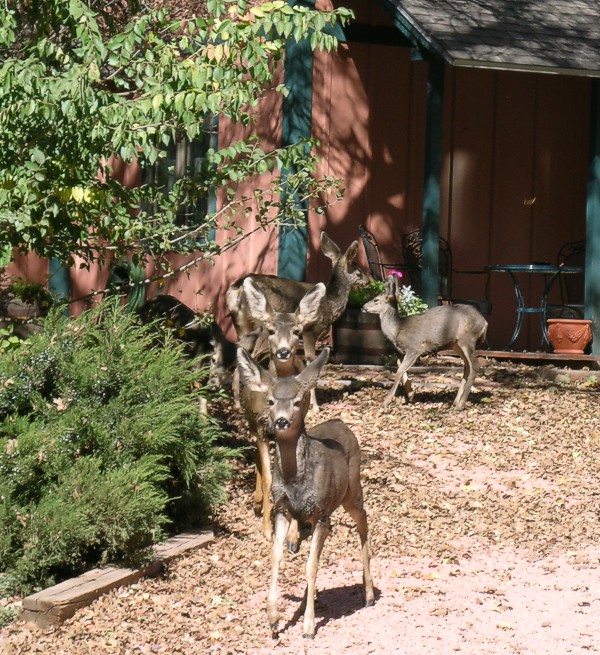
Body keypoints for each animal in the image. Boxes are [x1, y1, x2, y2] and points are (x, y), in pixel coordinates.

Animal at [225, 228, 366, 408]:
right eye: (359, 271)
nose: (369, 280)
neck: (330, 303)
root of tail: (237, 289)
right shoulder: (312, 331)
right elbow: (311, 361)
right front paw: (315, 407)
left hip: (241, 326)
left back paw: (237, 403)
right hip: (263, 327)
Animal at [236, 348, 372, 640]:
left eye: (297, 401)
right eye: (271, 400)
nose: (281, 420)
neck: (296, 481)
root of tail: (342, 423)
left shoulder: (321, 513)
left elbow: (311, 566)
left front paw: (309, 626)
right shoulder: (282, 509)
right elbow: (276, 556)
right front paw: (273, 619)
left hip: (352, 490)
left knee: (363, 524)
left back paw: (368, 593)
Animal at [237, 280, 328, 544]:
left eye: (297, 332)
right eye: (271, 331)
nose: (284, 352)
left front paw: (293, 535)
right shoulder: (259, 425)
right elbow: (269, 477)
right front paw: (267, 529)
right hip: (250, 421)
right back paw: (257, 502)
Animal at [360, 276, 488, 410]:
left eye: (376, 300)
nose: (362, 307)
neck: (397, 329)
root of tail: (484, 322)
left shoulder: (414, 348)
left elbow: (399, 371)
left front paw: (386, 401)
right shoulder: (402, 351)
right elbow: (401, 369)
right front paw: (410, 393)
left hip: (467, 339)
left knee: (475, 365)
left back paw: (461, 404)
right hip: (456, 344)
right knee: (467, 366)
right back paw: (455, 401)